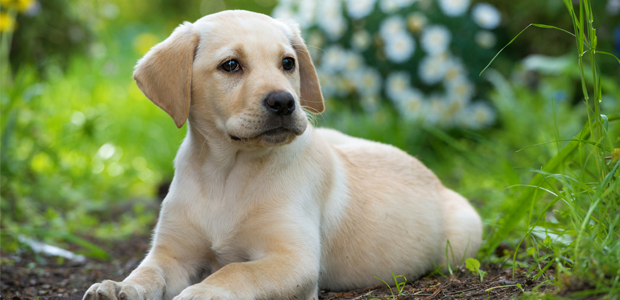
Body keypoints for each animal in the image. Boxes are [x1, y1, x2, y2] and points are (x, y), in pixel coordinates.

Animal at [83, 9, 480, 300]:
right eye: (231, 65)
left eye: (288, 63)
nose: (284, 102)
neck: (227, 172)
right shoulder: (172, 254)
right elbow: (148, 270)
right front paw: (118, 286)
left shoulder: (294, 261)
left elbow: (236, 270)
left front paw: (200, 293)